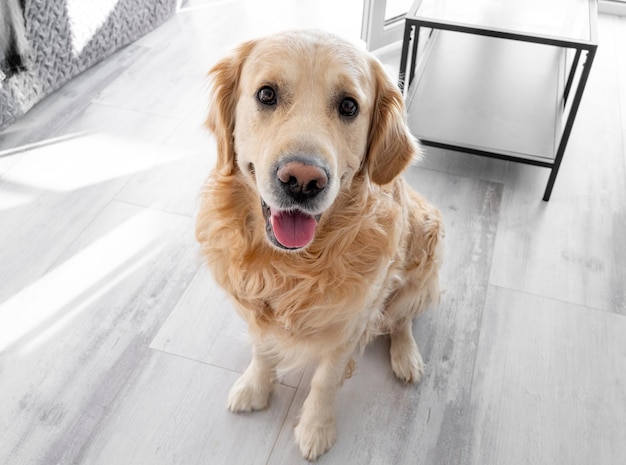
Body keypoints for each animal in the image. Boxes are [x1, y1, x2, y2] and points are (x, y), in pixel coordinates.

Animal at [196, 29, 444, 460]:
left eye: (348, 106)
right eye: (266, 94)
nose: (302, 180)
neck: (292, 266)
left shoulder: (350, 325)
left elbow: (325, 381)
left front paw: (316, 427)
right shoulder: (257, 305)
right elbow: (263, 349)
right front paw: (255, 387)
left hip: (425, 256)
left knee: (402, 319)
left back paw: (406, 356)